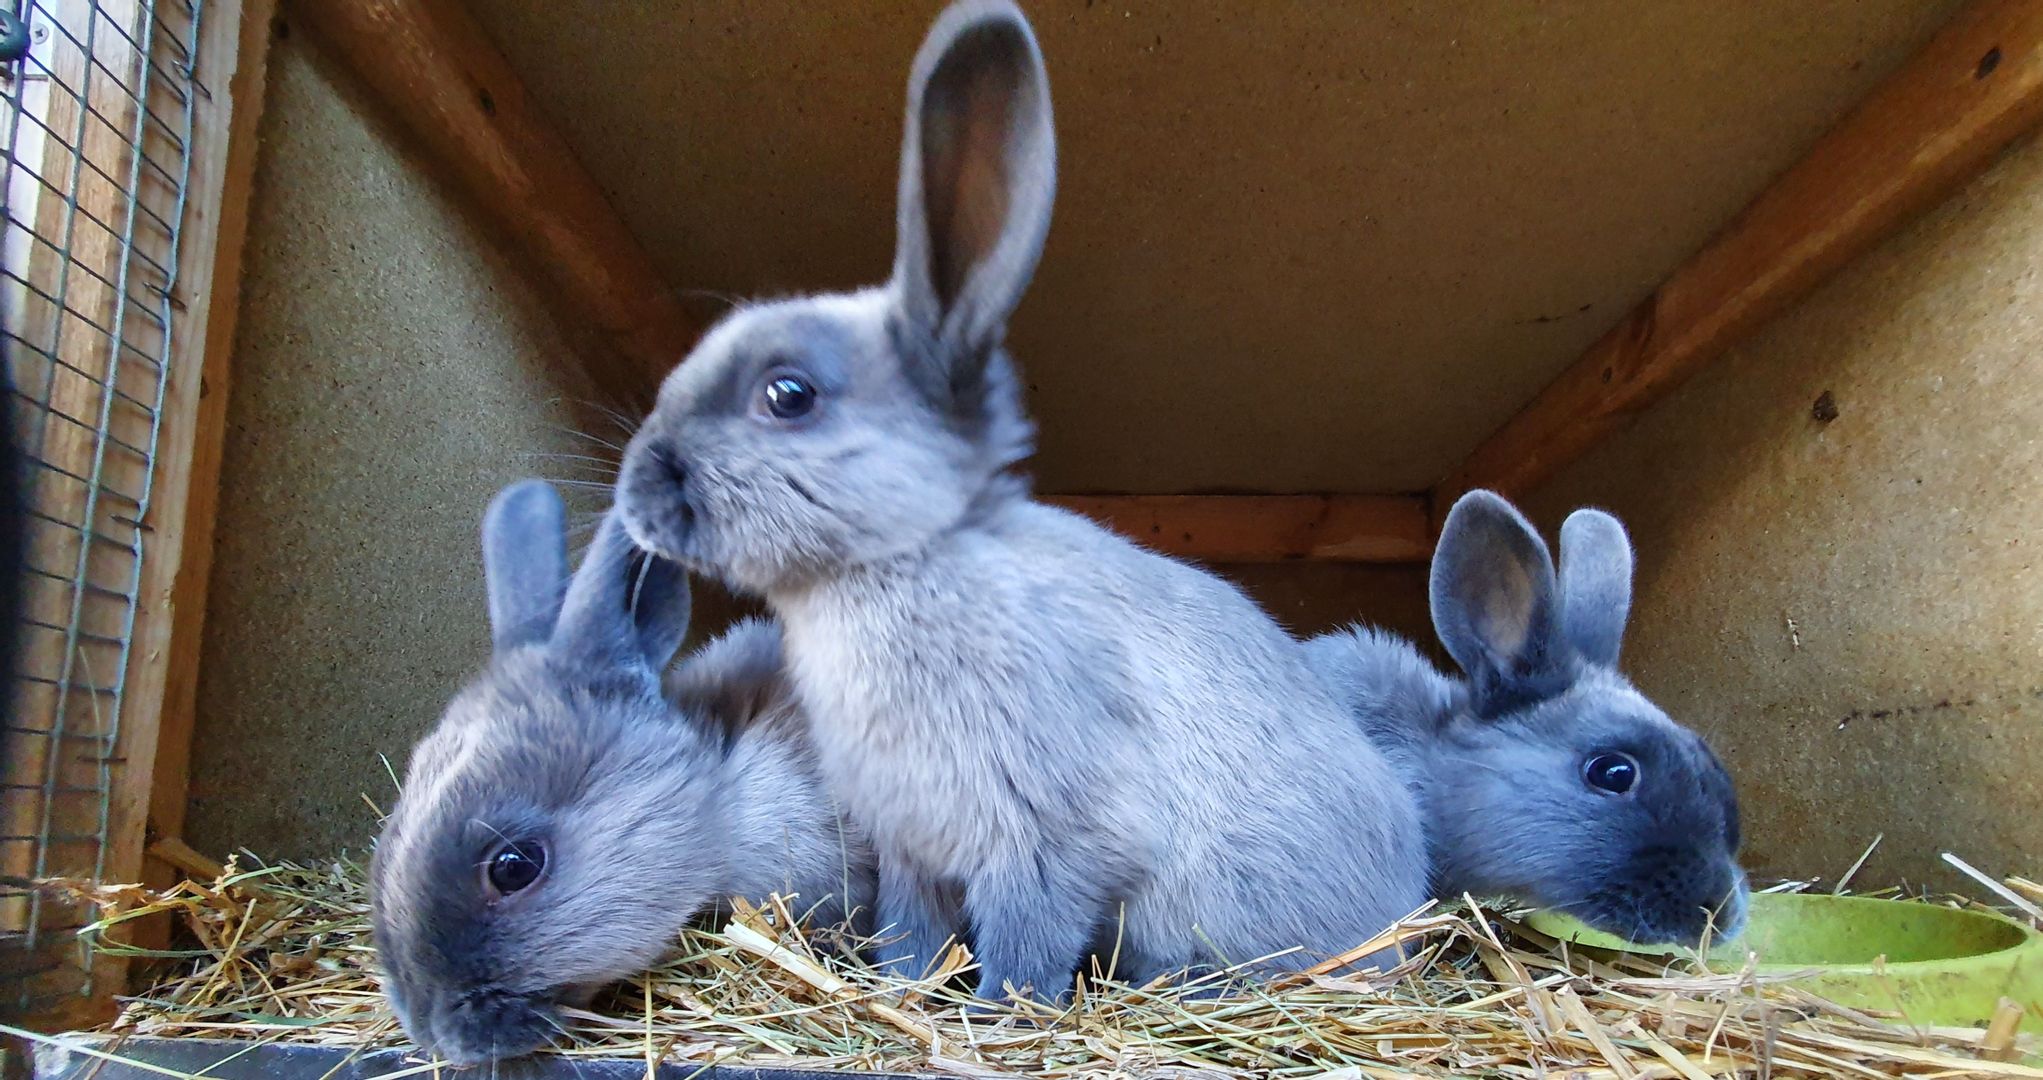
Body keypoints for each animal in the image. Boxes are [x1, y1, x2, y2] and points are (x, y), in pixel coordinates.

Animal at [612, 0, 1430, 1000]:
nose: (636, 487)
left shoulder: (1047, 843)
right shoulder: (910, 853)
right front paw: (904, 993)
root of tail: (1407, 898)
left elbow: (1024, 946)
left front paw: (996, 1014)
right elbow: (913, 935)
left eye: (787, 395)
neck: (897, 568)